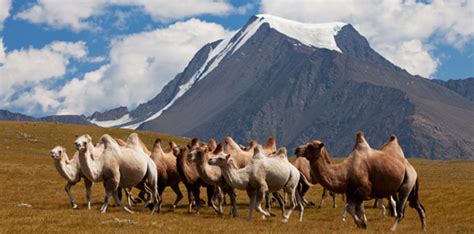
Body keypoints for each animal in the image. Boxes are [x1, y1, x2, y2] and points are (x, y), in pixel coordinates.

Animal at [296, 132, 426, 230]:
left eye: (311, 146)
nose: (297, 149)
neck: (345, 173)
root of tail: (413, 170)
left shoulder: (363, 191)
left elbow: (351, 208)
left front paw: (360, 223)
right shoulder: (351, 193)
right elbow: (355, 209)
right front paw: (363, 223)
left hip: (406, 186)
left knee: (400, 212)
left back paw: (392, 229)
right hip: (410, 188)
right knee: (419, 207)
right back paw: (423, 229)